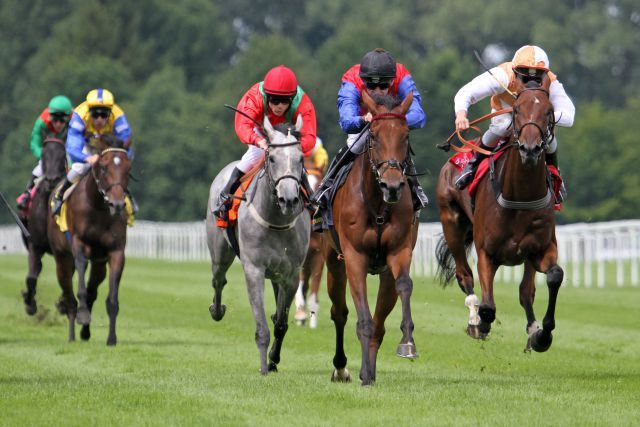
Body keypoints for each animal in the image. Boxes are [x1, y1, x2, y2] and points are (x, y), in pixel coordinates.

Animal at [20, 139, 68, 316]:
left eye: (63, 154)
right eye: (43, 154)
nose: (52, 180)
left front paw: (62, 304)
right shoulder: (35, 244)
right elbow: (31, 277)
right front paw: (30, 304)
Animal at [47, 135, 131, 344]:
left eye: (128, 168)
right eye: (104, 167)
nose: (117, 204)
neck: (98, 207)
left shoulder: (116, 251)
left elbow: (111, 299)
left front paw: (112, 339)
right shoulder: (79, 244)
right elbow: (81, 283)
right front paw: (83, 314)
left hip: (99, 264)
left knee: (93, 291)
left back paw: (85, 333)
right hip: (62, 259)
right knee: (69, 297)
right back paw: (72, 335)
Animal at [206, 116, 312, 374]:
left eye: (300, 158)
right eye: (272, 158)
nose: (289, 199)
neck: (277, 221)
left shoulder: (291, 274)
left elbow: (281, 323)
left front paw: (273, 360)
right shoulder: (254, 270)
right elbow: (261, 326)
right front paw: (264, 367)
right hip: (219, 254)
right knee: (218, 280)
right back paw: (217, 310)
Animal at [324, 91, 420, 388]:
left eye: (406, 136)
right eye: (374, 135)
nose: (393, 185)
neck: (377, 204)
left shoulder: (399, 251)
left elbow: (405, 285)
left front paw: (408, 343)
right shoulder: (354, 257)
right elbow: (362, 319)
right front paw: (361, 374)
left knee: (380, 320)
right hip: (333, 263)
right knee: (340, 313)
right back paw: (342, 368)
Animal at [436, 75, 564, 352]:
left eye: (549, 111)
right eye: (516, 110)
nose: (530, 148)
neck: (520, 197)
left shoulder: (540, 248)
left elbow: (553, 276)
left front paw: (542, 335)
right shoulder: (487, 252)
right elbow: (488, 306)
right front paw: (480, 323)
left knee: (526, 291)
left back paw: (532, 330)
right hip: (451, 222)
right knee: (464, 276)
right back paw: (474, 319)